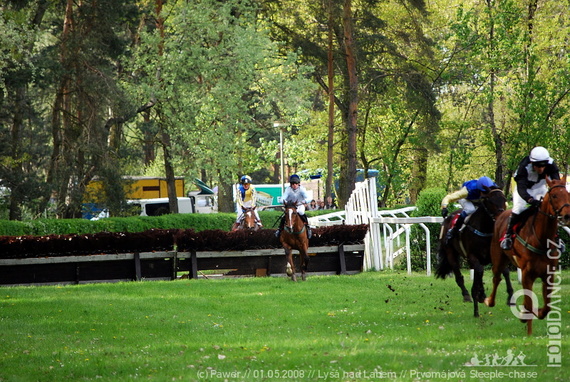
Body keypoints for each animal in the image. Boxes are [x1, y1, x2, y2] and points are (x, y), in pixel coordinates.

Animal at [434, 187, 506, 316]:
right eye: (490, 201)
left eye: (504, 199)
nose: (501, 215)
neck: (484, 229)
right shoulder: (472, 256)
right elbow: (478, 272)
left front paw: (481, 294)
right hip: (451, 253)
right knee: (459, 277)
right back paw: (467, 295)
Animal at [484, 176, 568, 334]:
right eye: (554, 196)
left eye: (568, 194)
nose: (567, 215)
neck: (541, 240)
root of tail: (501, 214)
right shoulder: (527, 273)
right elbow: (529, 304)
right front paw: (527, 326)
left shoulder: (548, 274)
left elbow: (546, 306)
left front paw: (537, 312)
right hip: (498, 259)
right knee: (496, 278)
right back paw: (489, 300)